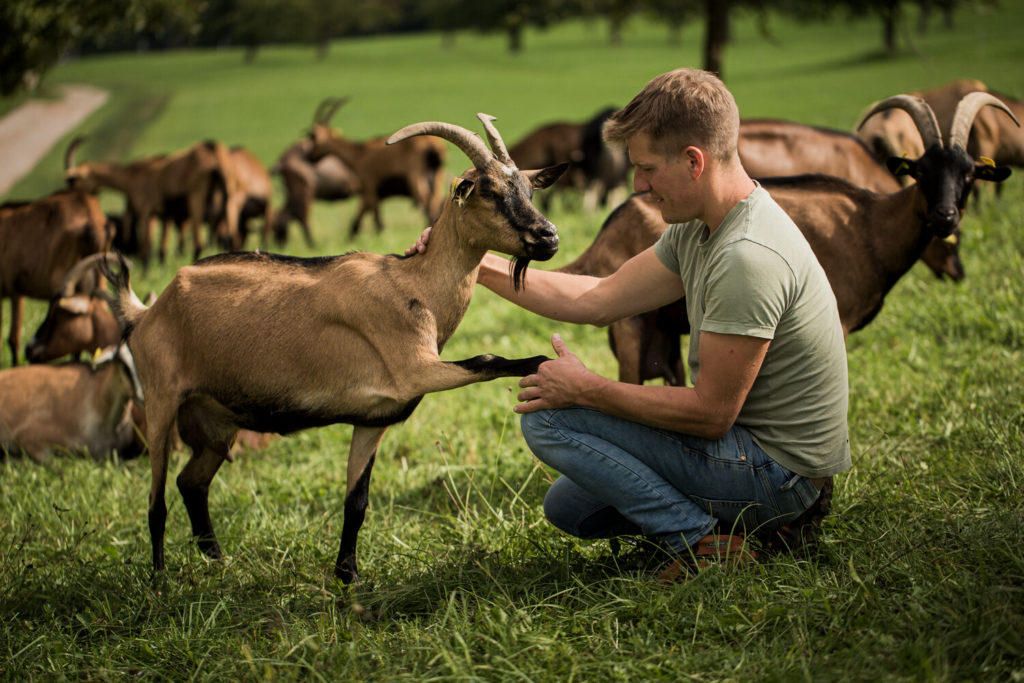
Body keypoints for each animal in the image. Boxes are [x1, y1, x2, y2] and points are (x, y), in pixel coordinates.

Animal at [103, 114, 569, 585]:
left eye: (529, 189)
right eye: (488, 191)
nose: (548, 237)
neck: (413, 285)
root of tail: (146, 312)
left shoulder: (373, 417)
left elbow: (356, 503)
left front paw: (349, 576)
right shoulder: (416, 369)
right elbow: (486, 359)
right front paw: (543, 363)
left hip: (215, 422)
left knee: (191, 483)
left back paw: (218, 562)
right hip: (161, 402)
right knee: (156, 501)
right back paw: (159, 580)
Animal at [569, 92, 1015, 385]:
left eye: (969, 174)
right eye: (921, 172)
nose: (945, 217)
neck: (871, 225)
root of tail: (609, 229)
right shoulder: (838, 321)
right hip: (631, 328)